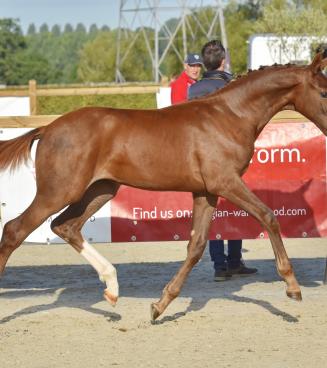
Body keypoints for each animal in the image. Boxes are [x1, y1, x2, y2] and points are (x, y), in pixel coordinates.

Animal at [0, 50, 327, 320]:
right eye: (324, 92)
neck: (229, 116)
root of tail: (47, 128)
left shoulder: (206, 191)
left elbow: (196, 245)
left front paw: (160, 305)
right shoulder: (226, 182)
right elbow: (268, 216)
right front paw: (292, 286)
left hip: (101, 189)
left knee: (65, 226)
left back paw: (112, 287)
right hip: (59, 191)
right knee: (15, 229)